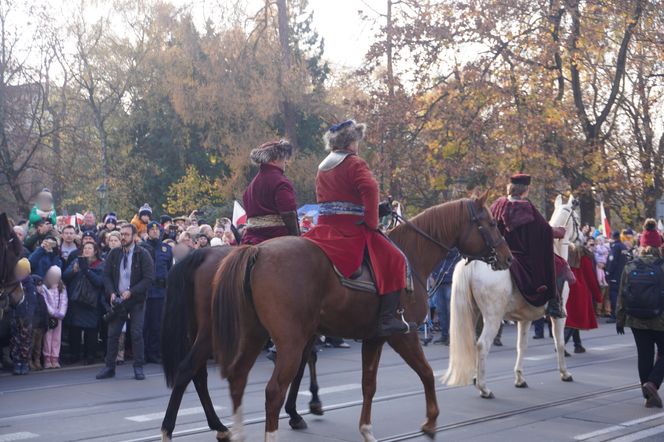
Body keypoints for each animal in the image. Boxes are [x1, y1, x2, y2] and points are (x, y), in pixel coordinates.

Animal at [160, 247, 322, 440]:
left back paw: (219, 426)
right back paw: (170, 430)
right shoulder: (302, 334)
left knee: (197, 374)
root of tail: (203, 254)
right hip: (212, 332)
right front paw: (302, 408)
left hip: (196, 331)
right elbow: (304, 364)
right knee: (187, 369)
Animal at [213, 194, 512, 442]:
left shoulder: (374, 338)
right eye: (492, 223)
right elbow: (426, 372)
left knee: (238, 378)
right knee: (274, 391)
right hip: (290, 342)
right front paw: (430, 422)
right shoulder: (403, 334)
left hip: (254, 336)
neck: (412, 254)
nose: (508, 258)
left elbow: (368, 384)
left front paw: (366, 430)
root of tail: (258, 251)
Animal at [444, 195, 580, 398]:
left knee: (474, 343)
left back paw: (477, 378)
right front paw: (565, 373)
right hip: (493, 317)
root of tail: (473, 264)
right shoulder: (559, 316)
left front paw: (519, 378)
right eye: (577, 218)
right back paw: (484, 389)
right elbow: (560, 342)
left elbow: (521, 346)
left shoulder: (525, 319)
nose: (581, 239)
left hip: (474, 314)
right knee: (482, 345)